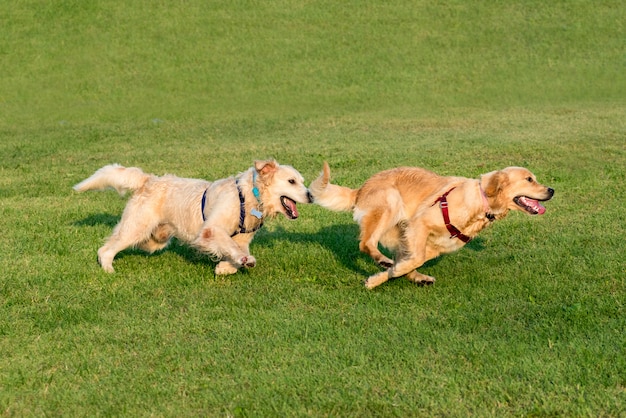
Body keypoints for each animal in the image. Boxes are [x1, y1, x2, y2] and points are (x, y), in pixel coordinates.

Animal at [73, 159, 312, 274]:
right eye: (291, 181)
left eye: (302, 181)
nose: (310, 195)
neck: (251, 196)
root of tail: (149, 179)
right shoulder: (211, 230)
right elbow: (228, 244)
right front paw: (239, 261)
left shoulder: (244, 238)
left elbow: (236, 249)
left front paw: (227, 267)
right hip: (137, 227)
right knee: (106, 249)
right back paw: (108, 269)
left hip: (156, 238)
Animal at [310, 162, 552, 290]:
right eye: (529, 179)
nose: (552, 190)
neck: (482, 202)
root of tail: (361, 189)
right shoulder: (420, 224)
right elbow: (411, 260)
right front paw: (387, 272)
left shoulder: (435, 246)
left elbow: (410, 262)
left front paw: (378, 278)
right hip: (390, 202)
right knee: (366, 243)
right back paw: (383, 260)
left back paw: (416, 276)